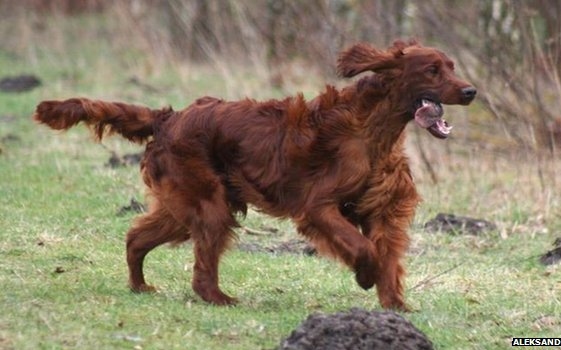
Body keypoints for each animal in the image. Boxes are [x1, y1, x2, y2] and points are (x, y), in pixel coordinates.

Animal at [34, 39, 472, 310]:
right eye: (432, 70)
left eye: (451, 66)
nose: (471, 92)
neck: (371, 130)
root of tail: (169, 117)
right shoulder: (318, 207)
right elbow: (364, 249)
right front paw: (365, 276)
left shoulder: (383, 211)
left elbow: (388, 256)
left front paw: (395, 306)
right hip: (208, 204)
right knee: (199, 272)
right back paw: (219, 298)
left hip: (185, 208)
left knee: (136, 237)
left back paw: (140, 286)